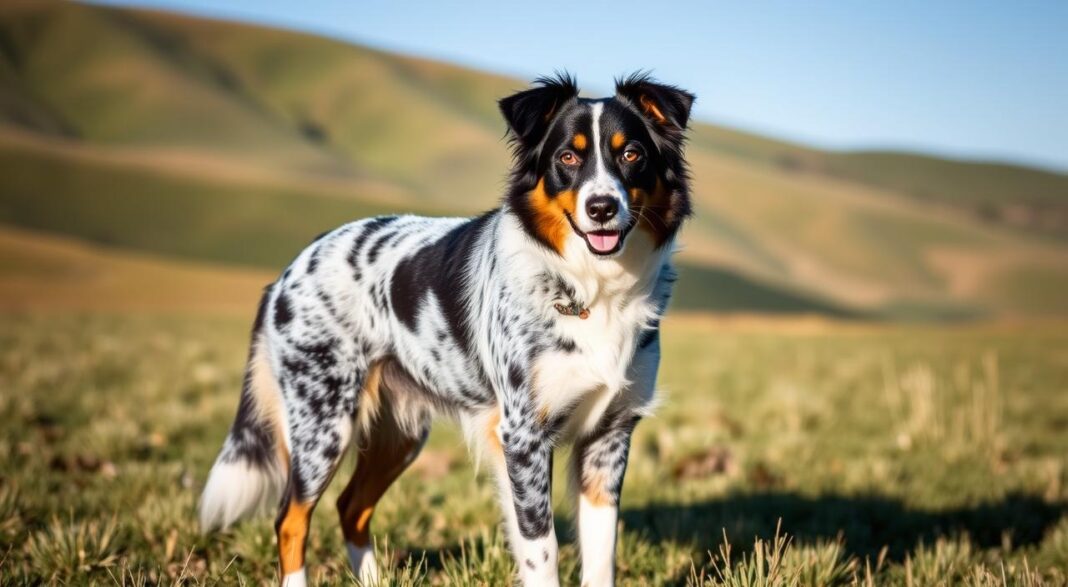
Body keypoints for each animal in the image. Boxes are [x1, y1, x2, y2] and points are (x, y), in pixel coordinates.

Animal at [200, 74, 696, 587]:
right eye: (567, 157)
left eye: (632, 154)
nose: (601, 207)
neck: (590, 287)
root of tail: (288, 270)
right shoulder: (523, 436)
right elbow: (542, 549)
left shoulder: (610, 435)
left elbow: (600, 554)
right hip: (322, 422)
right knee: (291, 517)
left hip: (398, 434)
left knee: (350, 506)